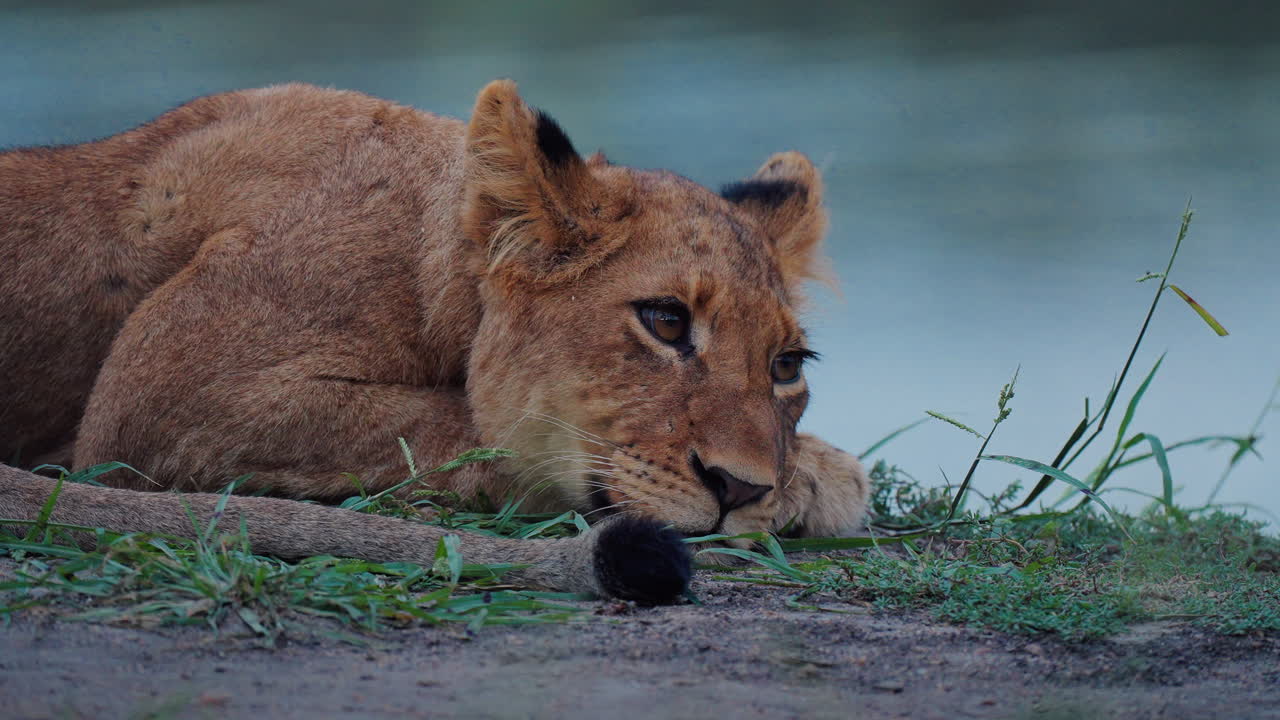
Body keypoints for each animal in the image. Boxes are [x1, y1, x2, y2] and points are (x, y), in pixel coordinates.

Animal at [0, 81, 869, 603]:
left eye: (786, 366)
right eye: (664, 321)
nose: (740, 490)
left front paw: (811, 473)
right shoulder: (162, 403)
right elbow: (465, 429)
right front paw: (815, 479)